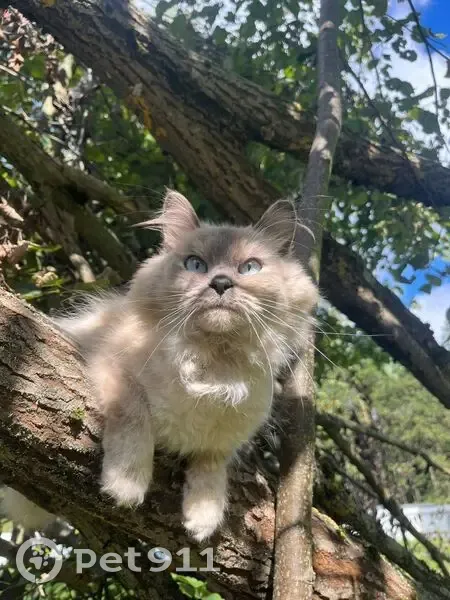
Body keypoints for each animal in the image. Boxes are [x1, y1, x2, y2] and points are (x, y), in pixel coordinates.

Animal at [55, 190, 318, 542]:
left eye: (249, 268)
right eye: (196, 265)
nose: (220, 282)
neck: (213, 361)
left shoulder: (227, 437)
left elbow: (211, 468)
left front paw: (203, 519)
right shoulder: (111, 366)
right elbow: (134, 418)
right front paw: (125, 486)